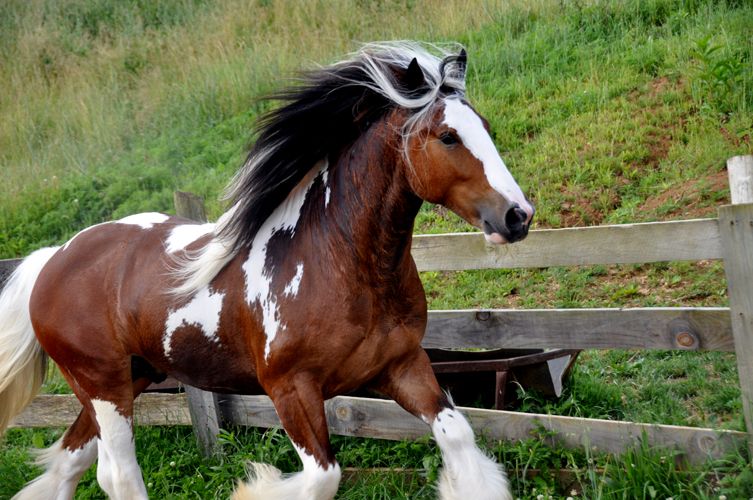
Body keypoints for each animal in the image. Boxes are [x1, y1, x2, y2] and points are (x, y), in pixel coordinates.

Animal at [0, 44, 532, 500]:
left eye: (485, 125)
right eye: (447, 136)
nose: (518, 216)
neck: (336, 263)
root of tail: (54, 256)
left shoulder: (401, 366)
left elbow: (458, 436)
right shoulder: (290, 389)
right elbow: (322, 476)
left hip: (128, 378)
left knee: (73, 462)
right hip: (103, 385)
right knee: (118, 472)